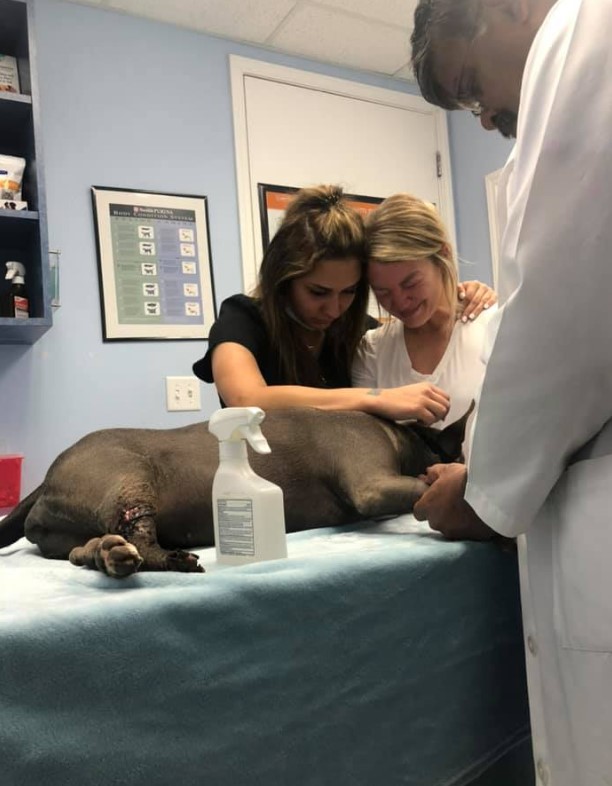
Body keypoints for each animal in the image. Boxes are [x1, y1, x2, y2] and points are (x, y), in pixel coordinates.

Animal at [0, 408, 470, 580]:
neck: (406, 438)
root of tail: (46, 479)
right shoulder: (371, 484)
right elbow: (425, 484)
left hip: (80, 526)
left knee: (89, 550)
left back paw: (108, 554)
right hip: (127, 479)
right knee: (141, 538)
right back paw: (169, 559)